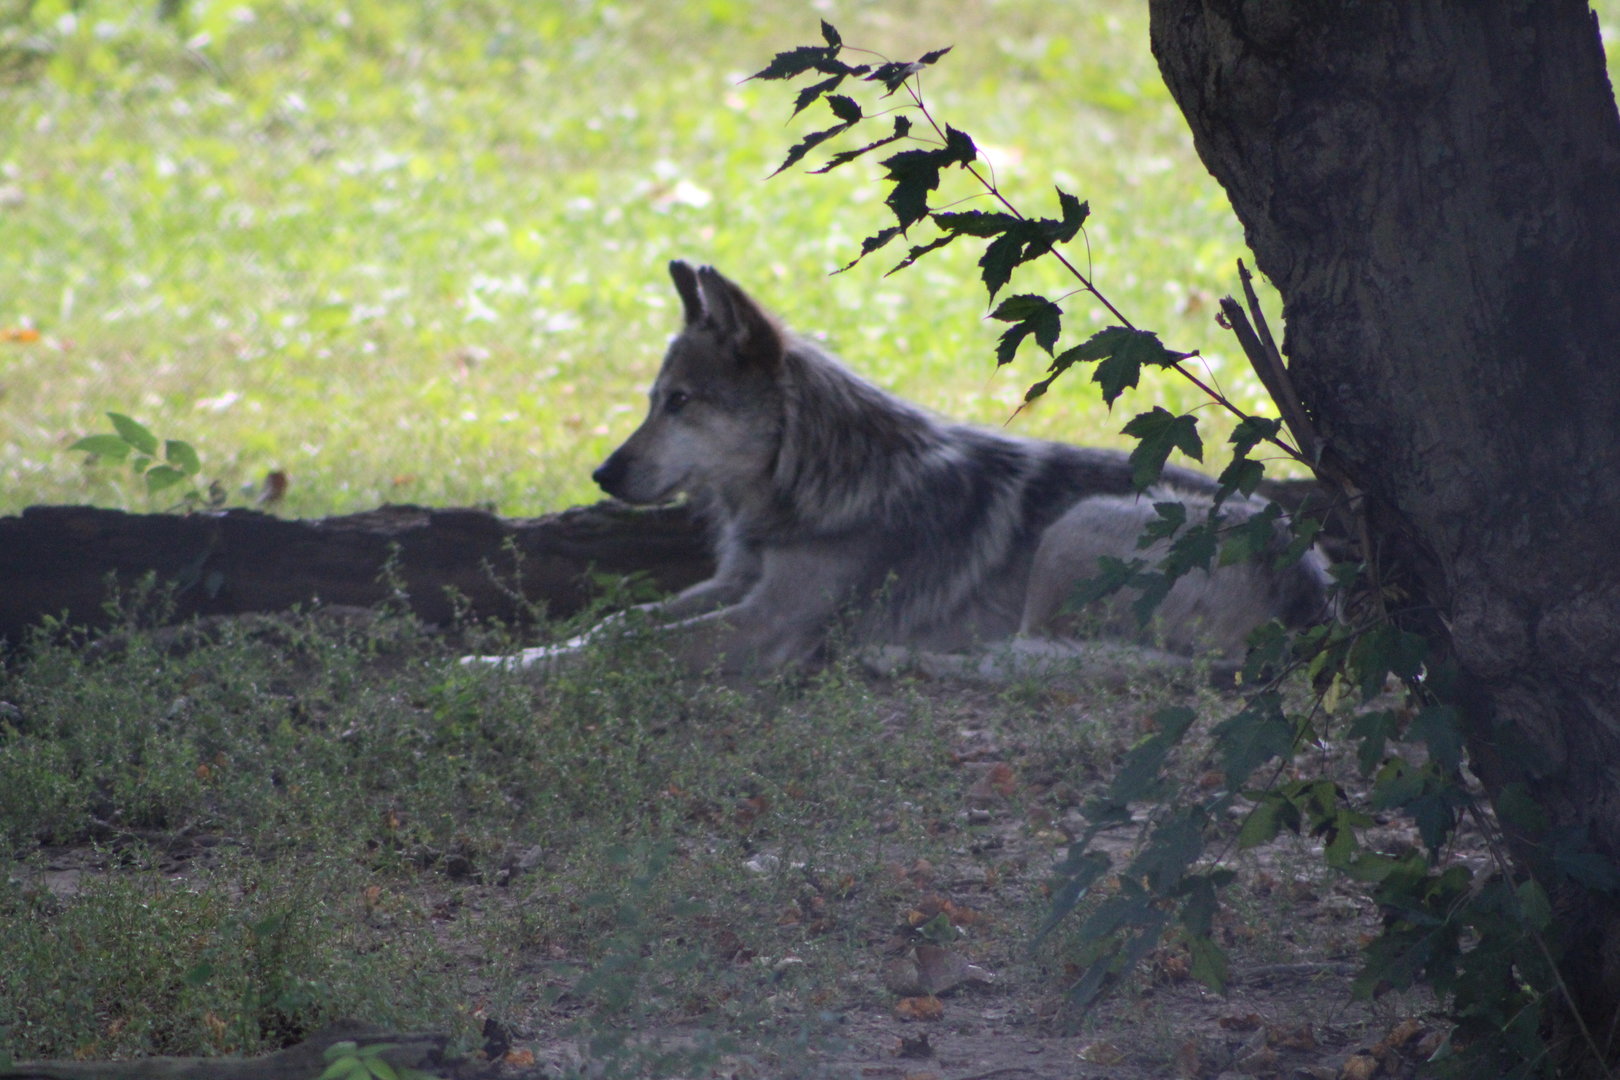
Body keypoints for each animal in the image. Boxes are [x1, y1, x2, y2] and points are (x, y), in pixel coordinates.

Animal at [462, 261, 1328, 679]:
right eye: (651, 401)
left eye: (680, 403)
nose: (602, 475)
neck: (799, 488)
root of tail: (1318, 597)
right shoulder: (735, 586)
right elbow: (620, 623)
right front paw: (503, 658)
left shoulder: (765, 624)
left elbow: (623, 647)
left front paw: (490, 679)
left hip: (1077, 531)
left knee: (1056, 664)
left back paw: (902, 658)